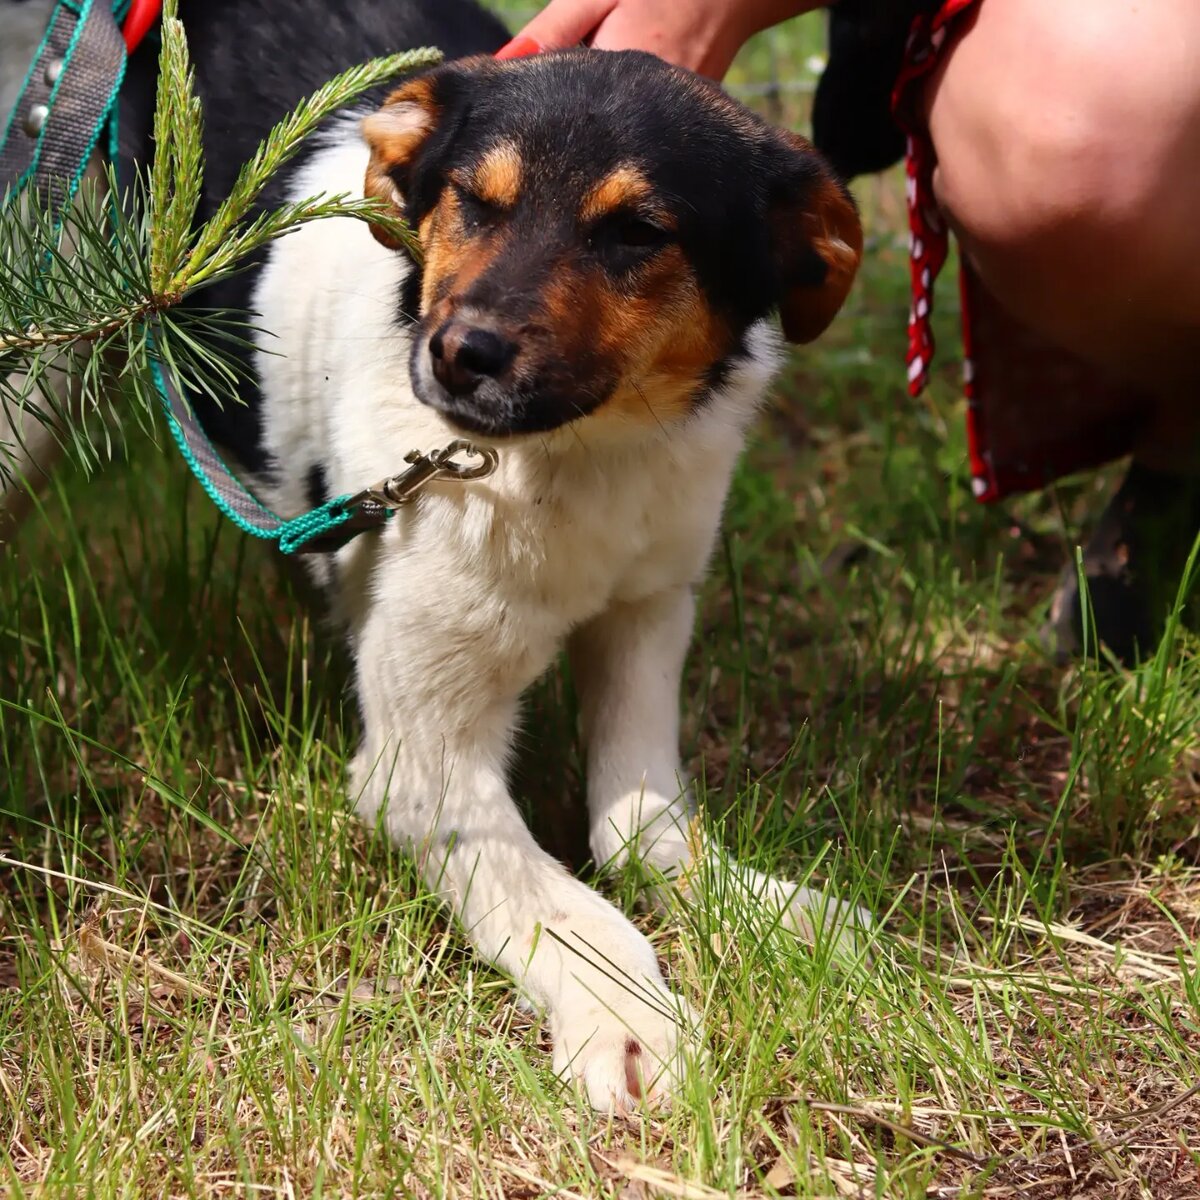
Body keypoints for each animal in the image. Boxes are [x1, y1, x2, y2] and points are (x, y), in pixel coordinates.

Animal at [2, 0, 864, 1113]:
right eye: (472, 203)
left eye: (638, 233)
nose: (459, 355)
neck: (578, 463)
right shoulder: (422, 760)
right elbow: (564, 904)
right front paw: (628, 1018)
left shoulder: (648, 608)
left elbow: (642, 829)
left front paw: (770, 911)